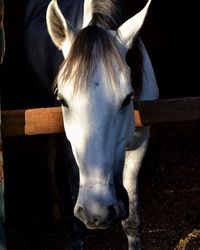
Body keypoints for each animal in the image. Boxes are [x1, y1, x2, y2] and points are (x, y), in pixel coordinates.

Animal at [24, 0, 158, 248]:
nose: (97, 212)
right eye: (62, 100)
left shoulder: (140, 144)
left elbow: (132, 222)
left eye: (128, 98)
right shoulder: (69, 149)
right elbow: (77, 226)